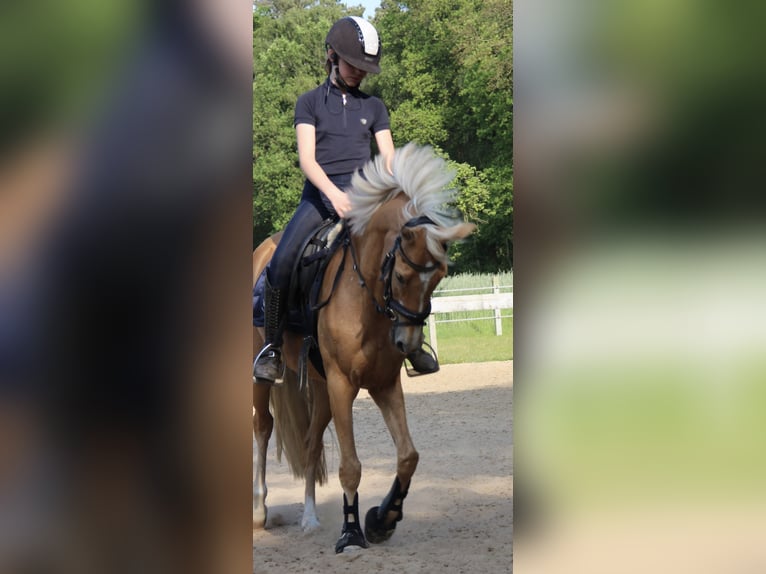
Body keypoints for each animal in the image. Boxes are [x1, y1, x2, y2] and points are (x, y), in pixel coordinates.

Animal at [252, 143, 474, 552]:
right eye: (401, 276)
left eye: (439, 277)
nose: (407, 342)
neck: (364, 298)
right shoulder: (343, 384)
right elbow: (351, 466)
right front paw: (352, 532)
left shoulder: (384, 383)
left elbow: (408, 455)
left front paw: (383, 519)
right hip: (264, 376)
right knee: (263, 426)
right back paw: (259, 510)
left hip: (320, 388)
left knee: (310, 442)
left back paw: (309, 518)